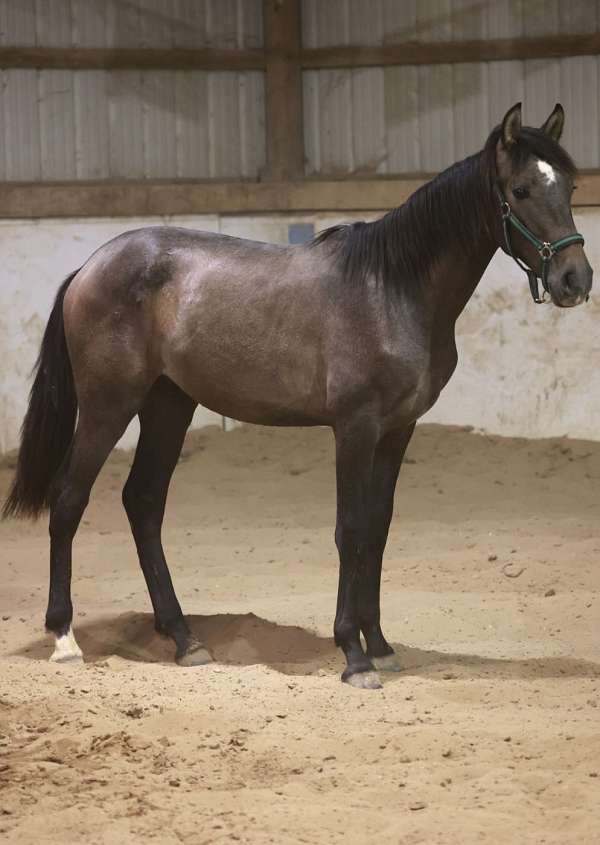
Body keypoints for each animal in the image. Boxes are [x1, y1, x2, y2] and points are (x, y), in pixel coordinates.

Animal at [3, 102, 592, 689]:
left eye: (569, 185)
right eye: (520, 190)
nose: (575, 279)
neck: (391, 289)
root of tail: (90, 267)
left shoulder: (397, 430)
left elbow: (377, 528)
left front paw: (380, 646)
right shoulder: (355, 428)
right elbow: (350, 530)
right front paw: (353, 655)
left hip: (169, 406)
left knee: (143, 503)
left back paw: (185, 639)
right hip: (109, 406)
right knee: (69, 499)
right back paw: (64, 638)